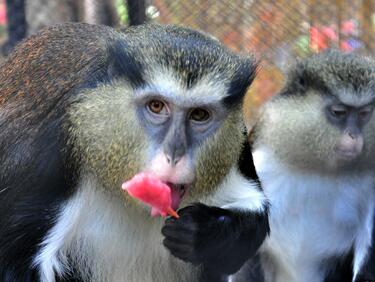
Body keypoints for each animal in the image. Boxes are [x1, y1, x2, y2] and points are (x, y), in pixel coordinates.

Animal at [0, 22, 270, 282]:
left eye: (199, 114)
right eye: (156, 106)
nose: (174, 155)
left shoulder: (238, 143)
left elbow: (255, 220)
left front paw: (201, 231)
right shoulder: (52, 152)